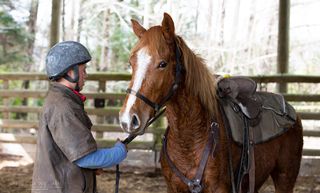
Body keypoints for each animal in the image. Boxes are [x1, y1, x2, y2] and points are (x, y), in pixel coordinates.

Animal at [119, 12, 302, 192]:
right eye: (131, 63)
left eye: (162, 64)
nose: (128, 119)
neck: (189, 139)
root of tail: (289, 110)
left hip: (285, 179)